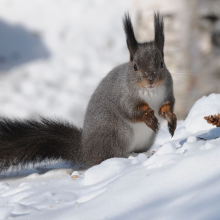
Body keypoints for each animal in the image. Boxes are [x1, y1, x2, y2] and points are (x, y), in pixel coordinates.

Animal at [0, 12, 177, 172]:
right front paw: (148, 116)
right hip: (113, 133)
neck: (150, 92)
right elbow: (130, 111)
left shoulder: (167, 92)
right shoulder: (123, 95)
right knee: (105, 157)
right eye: (135, 67)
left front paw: (170, 118)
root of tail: (84, 150)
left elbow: (167, 106)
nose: (151, 80)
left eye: (162, 64)